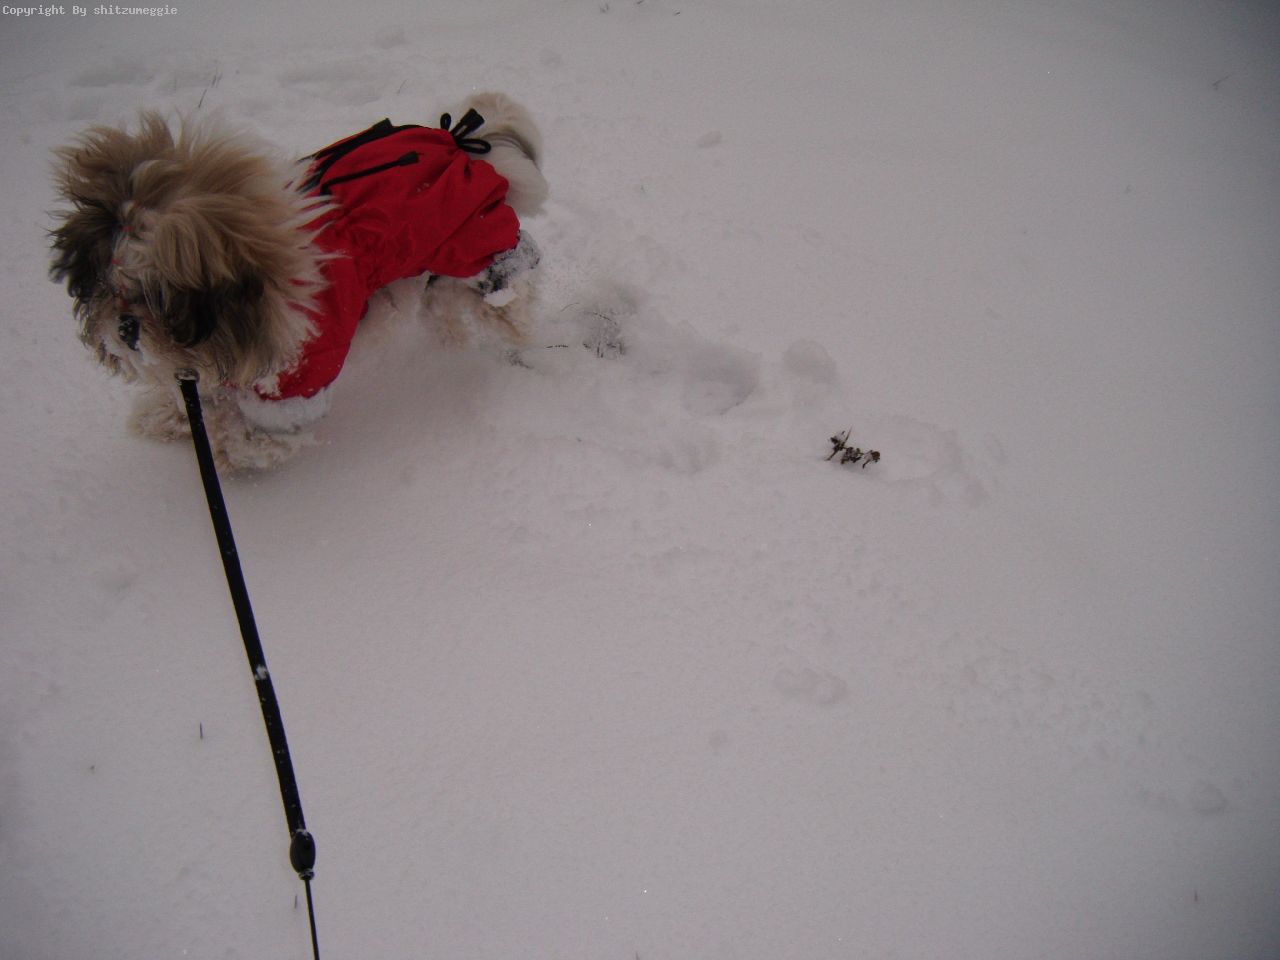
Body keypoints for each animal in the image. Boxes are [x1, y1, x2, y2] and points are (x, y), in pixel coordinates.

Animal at [50, 92, 547, 471]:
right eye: (108, 288)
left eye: (163, 298)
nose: (125, 330)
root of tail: (460, 144)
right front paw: (168, 415)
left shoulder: (297, 378)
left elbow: (251, 437)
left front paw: (227, 446)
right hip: (434, 277)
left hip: (481, 257)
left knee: (511, 304)